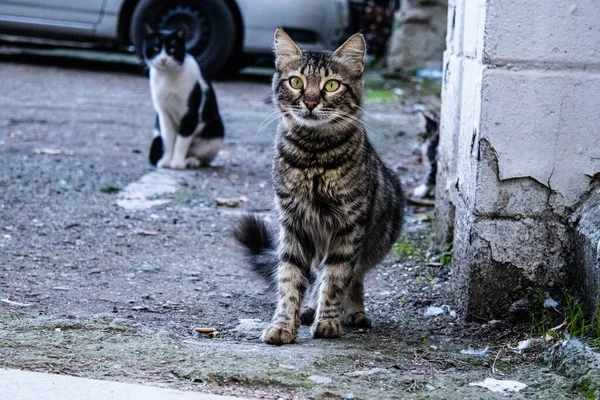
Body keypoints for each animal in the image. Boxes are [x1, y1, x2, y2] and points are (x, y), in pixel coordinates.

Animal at [144, 25, 225, 169]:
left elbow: (182, 141)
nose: (163, 59)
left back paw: (192, 161)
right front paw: (166, 161)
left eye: (172, 49)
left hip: (215, 132)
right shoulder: (164, 114)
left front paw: (177, 163)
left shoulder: (190, 114)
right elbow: (168, 140)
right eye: (155, 48)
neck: (168, 77)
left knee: (203, 157)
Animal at [234, 29, 404, 346]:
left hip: (375, 240)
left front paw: (328, 322)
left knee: (354, 276)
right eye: (296, 82)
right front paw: (283, 325)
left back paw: (354, 312)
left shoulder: (349, 227)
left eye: (332, 85)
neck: (314, 155)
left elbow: (336, 279)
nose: (311, 102)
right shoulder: (293, 223)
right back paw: (309, 308)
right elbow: (290, 279)